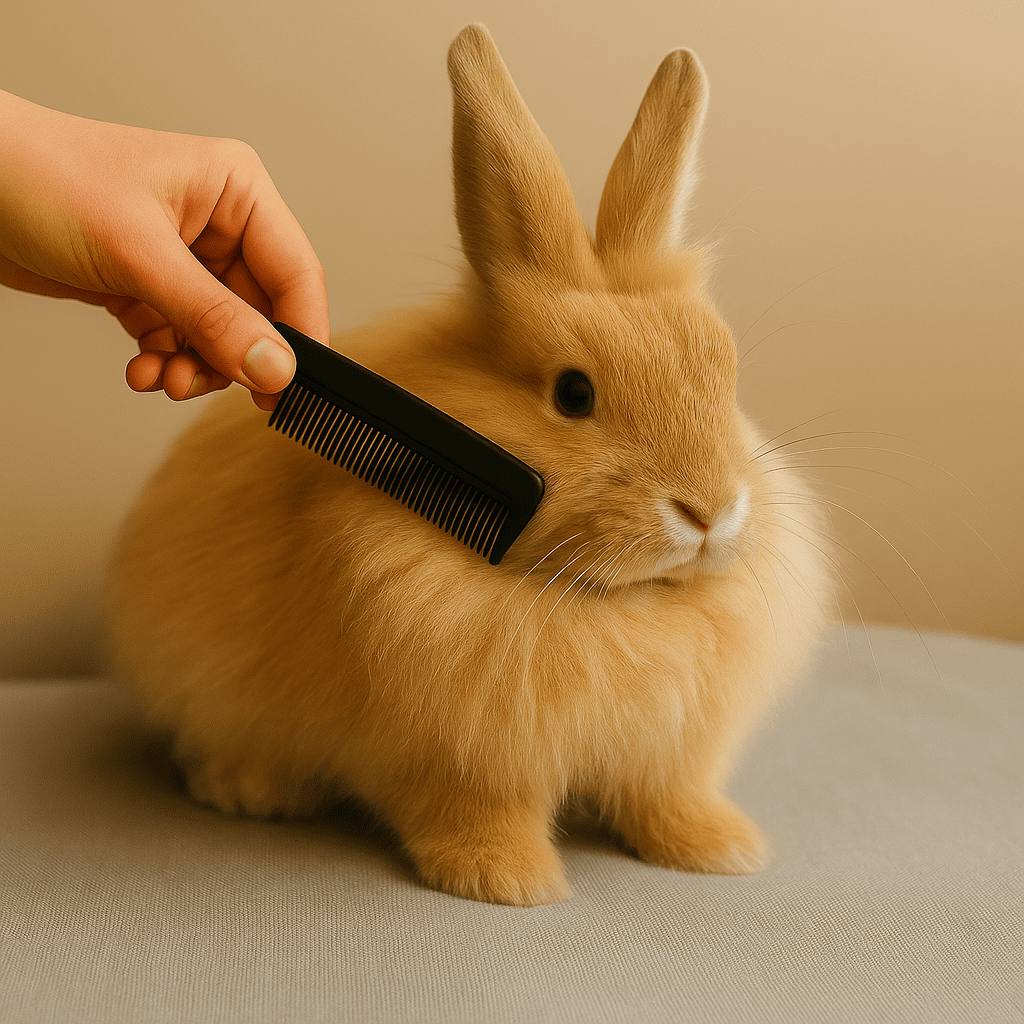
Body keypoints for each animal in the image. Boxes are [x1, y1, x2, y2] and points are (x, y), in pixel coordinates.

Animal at [108, 24, 833, 906]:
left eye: (726, 375)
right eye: (573, 393)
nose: (711, 511)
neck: (604, 603)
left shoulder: (668, 755)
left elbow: (666, 795)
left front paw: (721, 849)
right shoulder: (452, 756)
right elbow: (472, 806)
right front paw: (507, 878)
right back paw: (248, 789)